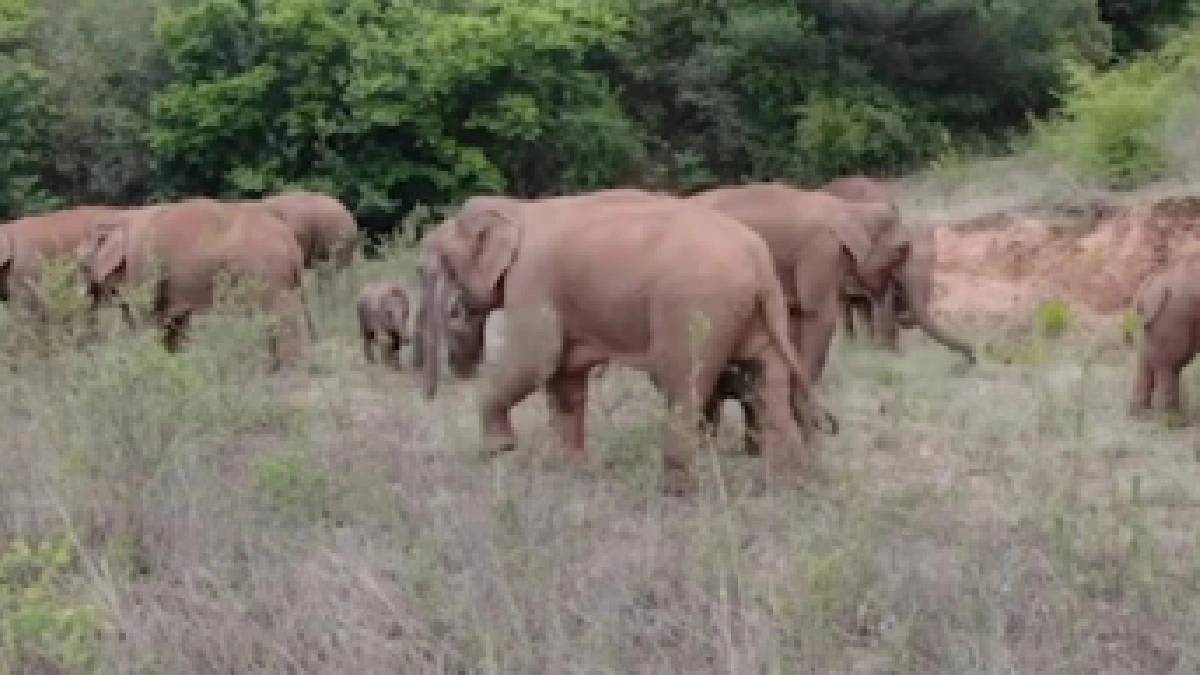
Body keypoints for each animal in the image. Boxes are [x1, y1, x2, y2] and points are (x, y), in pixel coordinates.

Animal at [78, 198, 307, 367]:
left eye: (83, 267)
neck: (122, 217)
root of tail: (290, 241)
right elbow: (175, 322)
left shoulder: (142, 262)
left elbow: (148, 316)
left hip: (266, 271)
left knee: (278, 314)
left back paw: (284, 369)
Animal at [422, 192, 825, 492]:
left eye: (440, 263)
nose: (436, 388)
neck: (518, 208)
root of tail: (759, 259)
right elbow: (565, 379)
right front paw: (570, 470)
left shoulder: (532, 280)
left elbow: (535, 358)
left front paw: (498, 451)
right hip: (755, 315)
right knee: (766, 385)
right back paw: (789, 485)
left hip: (695, 306)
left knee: (682, 385)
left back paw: (676, 491)